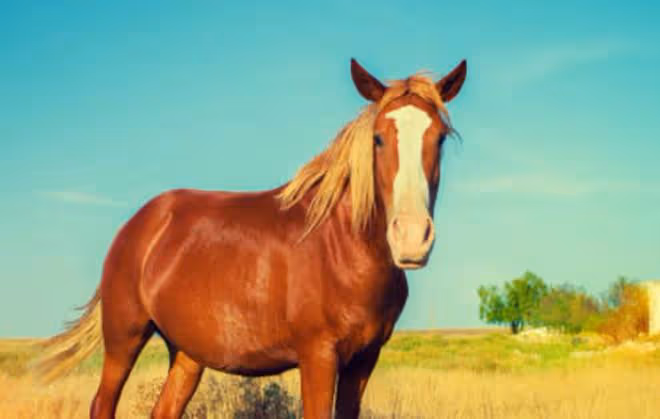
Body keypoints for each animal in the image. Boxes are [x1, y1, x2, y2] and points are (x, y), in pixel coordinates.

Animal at [36, 58, 467, 419]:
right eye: (378, 138)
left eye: (440, 138)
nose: (412, 238)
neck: (344, 248)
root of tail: (139, 222)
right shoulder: (318, 356)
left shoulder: (364, 359)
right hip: (124, 338)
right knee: (102, 403)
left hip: (187, 354)